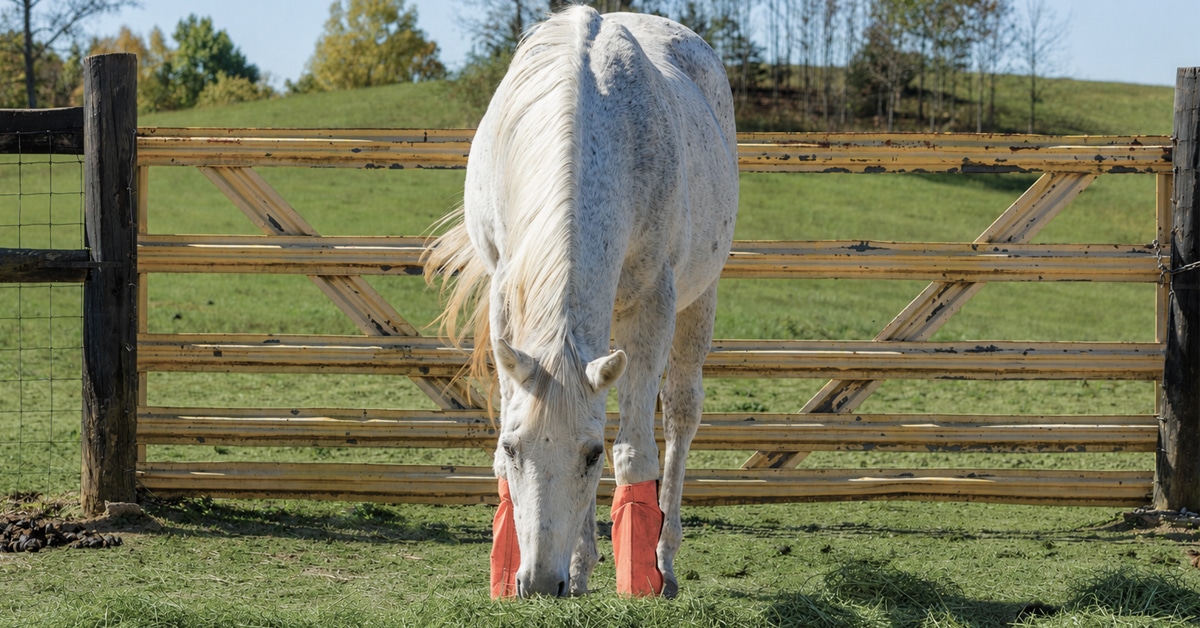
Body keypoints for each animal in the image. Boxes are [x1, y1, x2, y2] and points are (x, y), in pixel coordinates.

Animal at [425, 5, 737, 599]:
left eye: (590, 456)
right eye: (512, 449)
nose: (539, 583)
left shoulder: (656, 303)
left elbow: (633, 450)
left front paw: (639, 577)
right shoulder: (505, 295)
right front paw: (526, 570)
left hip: (701, 299)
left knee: (680, 414)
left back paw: (662, 561)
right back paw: (580, 565)